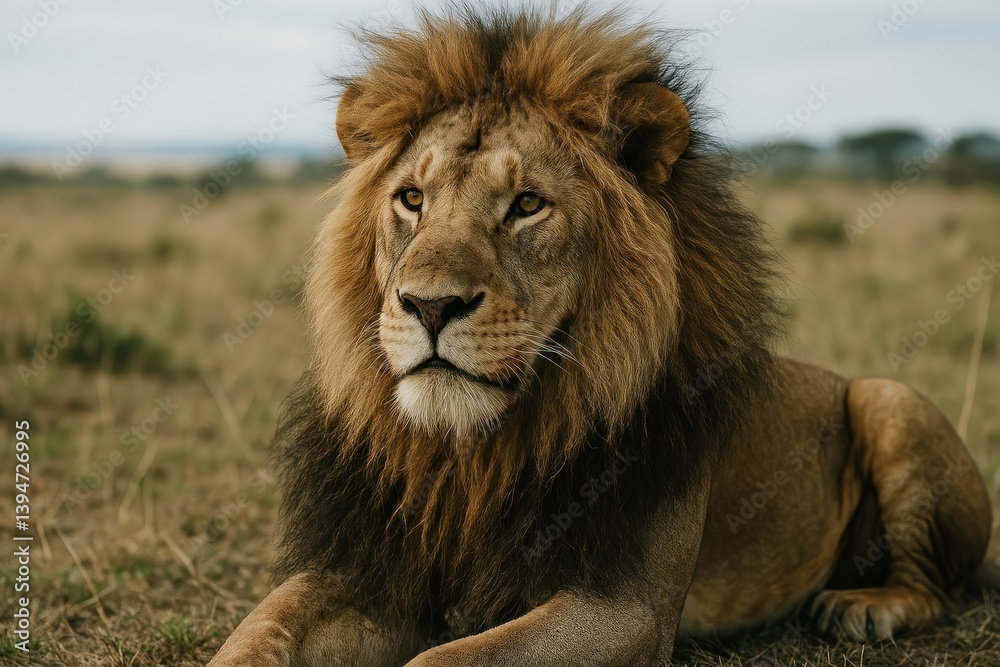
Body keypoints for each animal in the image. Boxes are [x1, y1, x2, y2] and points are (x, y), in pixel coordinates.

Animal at [209, 7, 992, 666]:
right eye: (411, 199)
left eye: (527, 205)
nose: (429, 306)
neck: (472, 457)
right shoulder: (377, 567)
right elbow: (259, 630)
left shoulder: (628, 607)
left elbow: (447, 658)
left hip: (889, 399)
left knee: (938, 585)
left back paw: (863, 606)